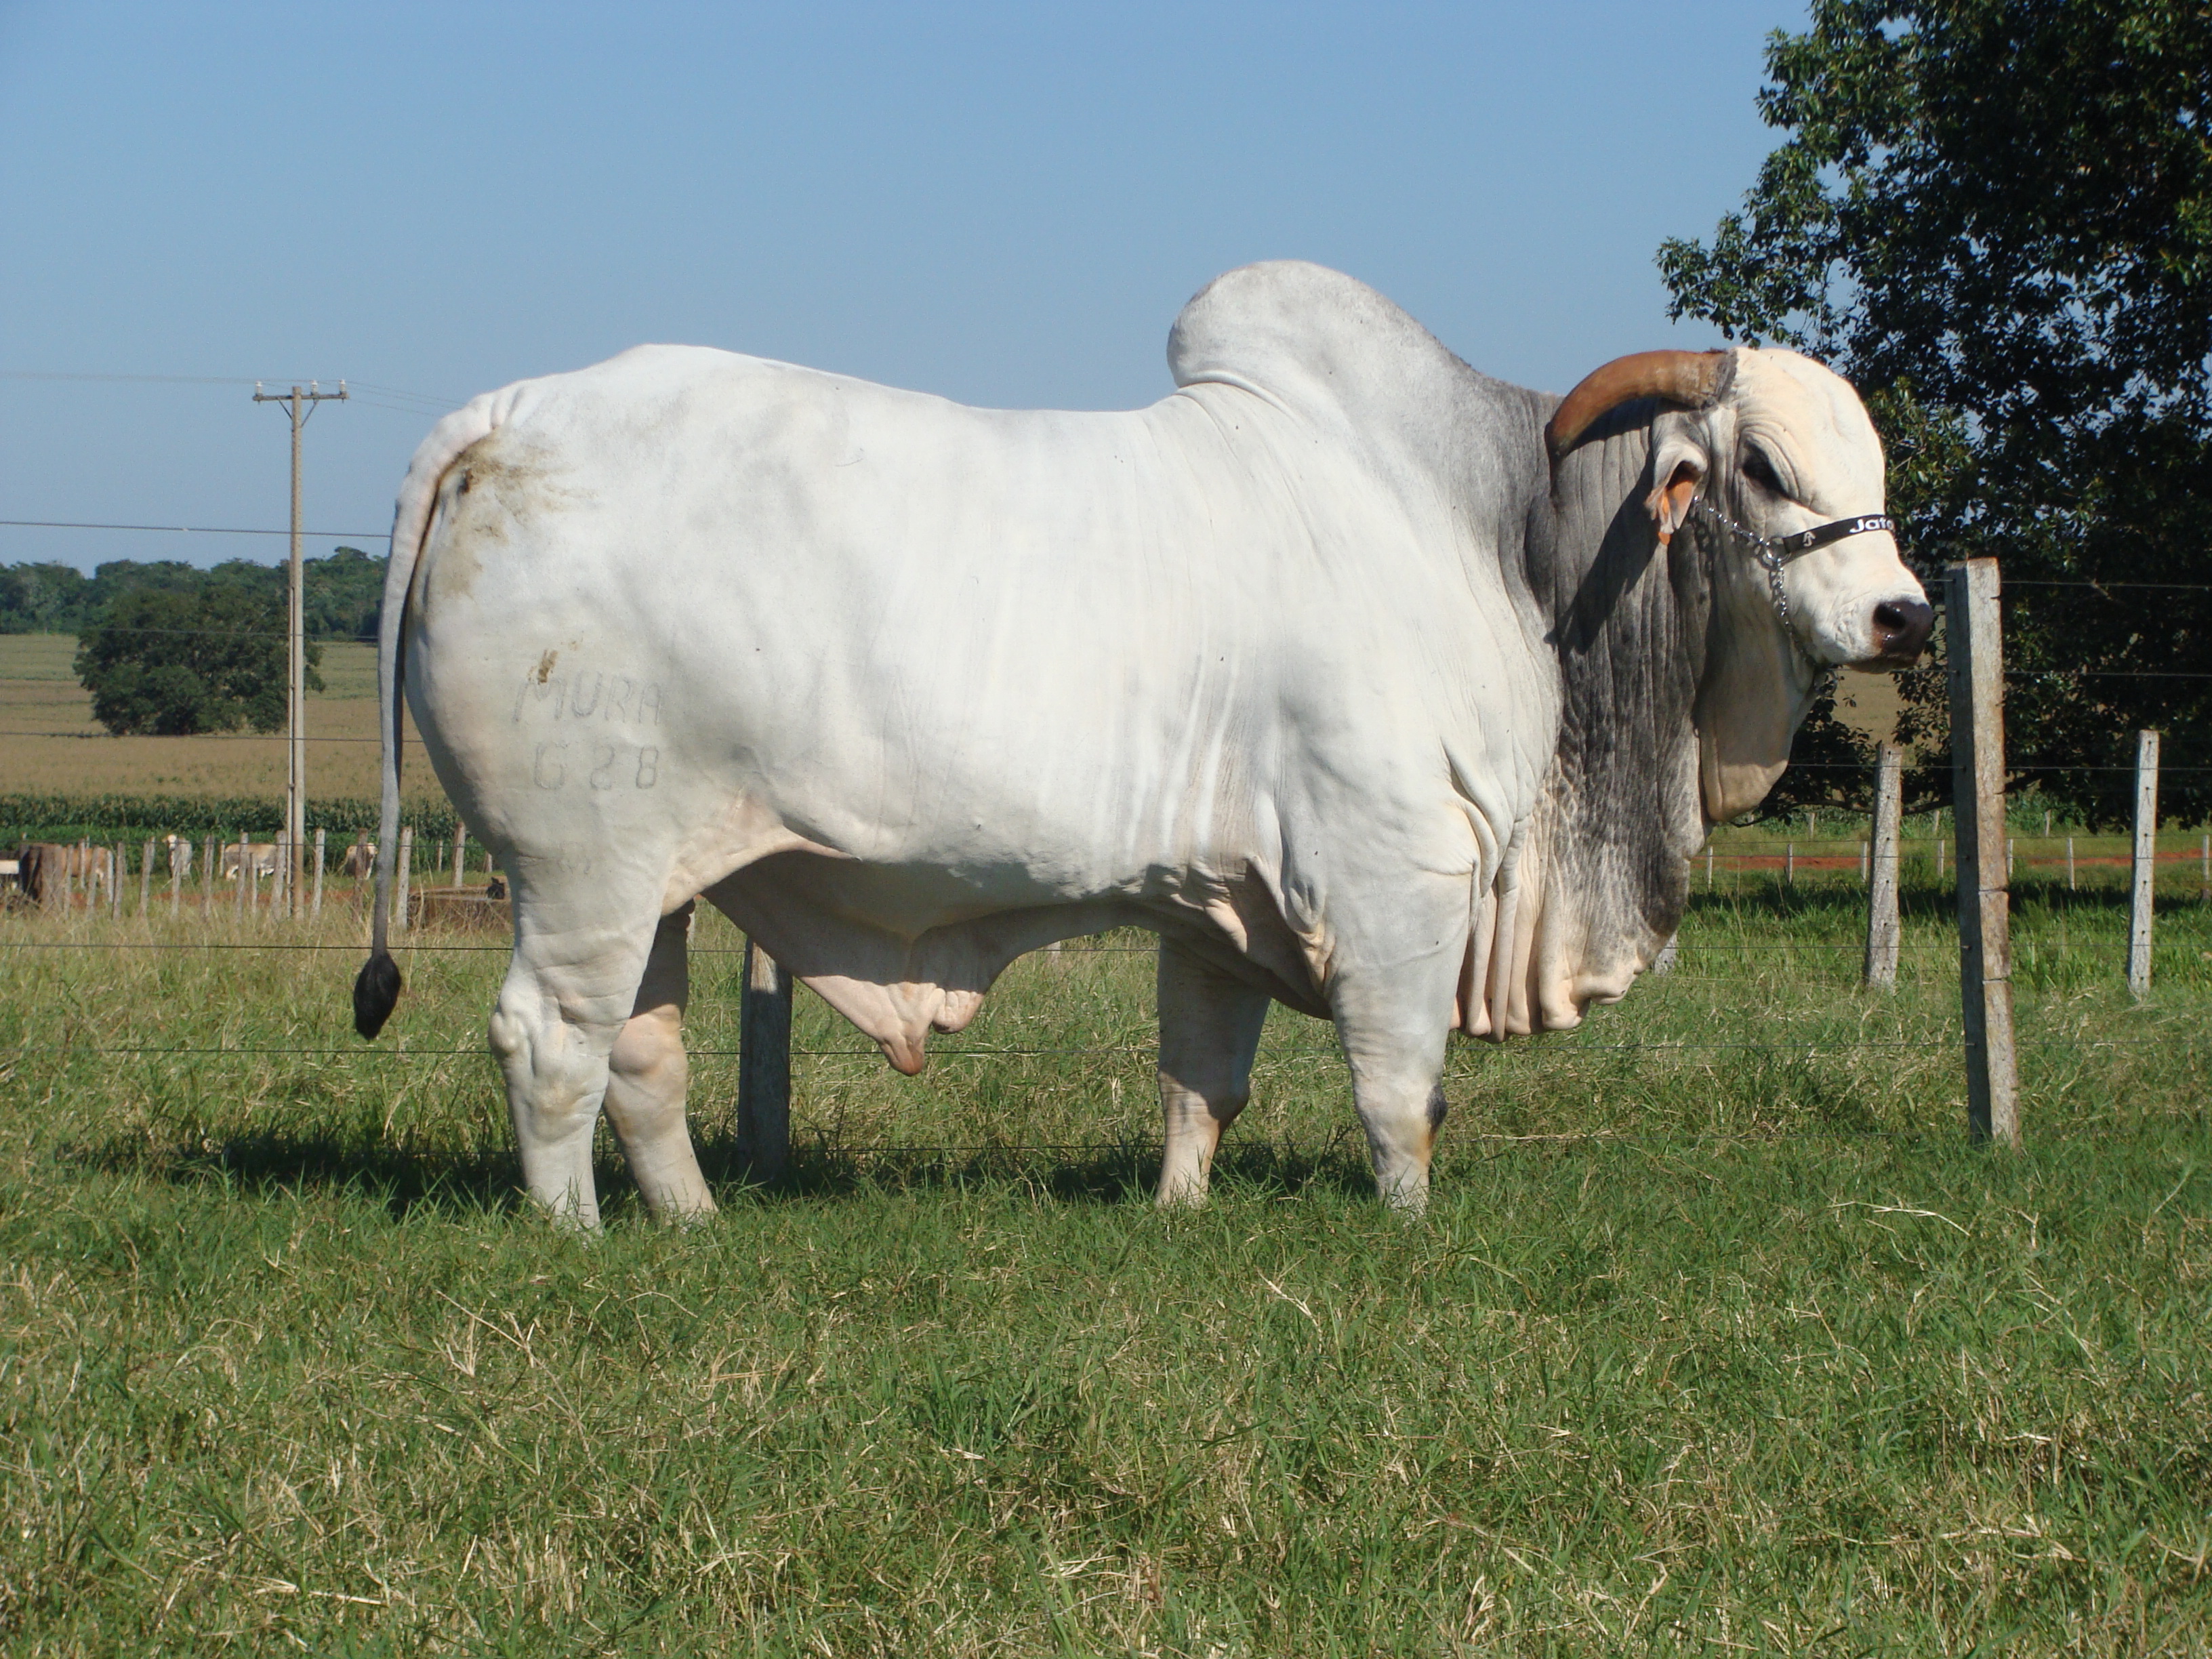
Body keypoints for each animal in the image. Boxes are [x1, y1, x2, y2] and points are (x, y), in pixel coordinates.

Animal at [352, 261, 1930, 1224]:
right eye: (1765, 466)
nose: (1905, 613)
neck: (1495, 539)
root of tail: (508, 415)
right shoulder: (1398, 878)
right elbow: (1399, 1088)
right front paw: (1408, 1225)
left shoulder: (1219, 904)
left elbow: (1200, 1080)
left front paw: (1177, 1210)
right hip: (581, 867)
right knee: (549, 1039)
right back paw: (577, 1237)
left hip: (660, 878)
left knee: (641, 1052)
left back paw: (690, 1222)